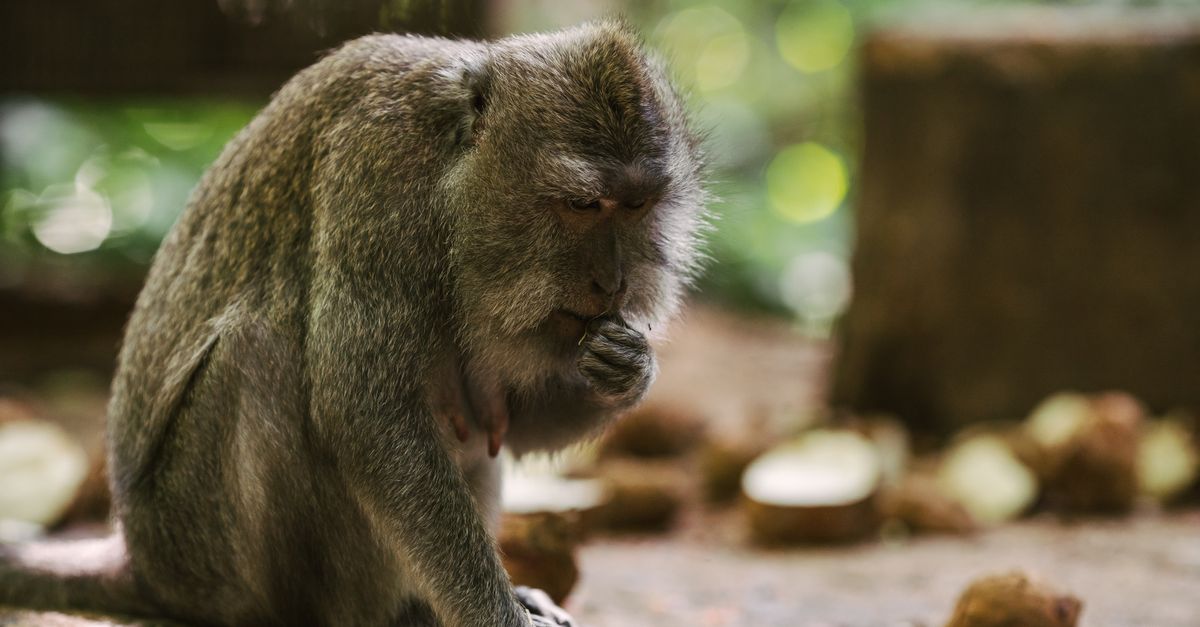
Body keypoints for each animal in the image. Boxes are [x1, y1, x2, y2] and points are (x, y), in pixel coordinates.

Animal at [0, 18, 706, 627]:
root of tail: (142, 565)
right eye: (583, 205)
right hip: (200, 552)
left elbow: (503, 425)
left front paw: (626, 370)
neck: (449, 168)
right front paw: (495, 615)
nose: (612, 282)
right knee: (257, 353)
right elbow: (368, 412)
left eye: (637, 205)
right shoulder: (378, 174)